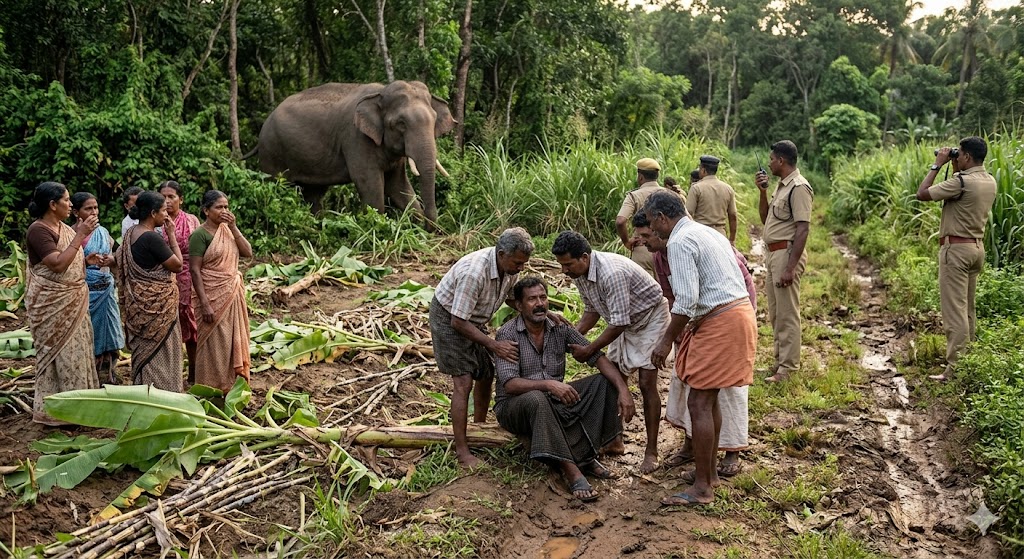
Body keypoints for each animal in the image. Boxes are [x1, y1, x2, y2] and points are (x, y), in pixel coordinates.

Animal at [250, 80, 455, 226]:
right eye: (400, 123)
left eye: (434, 119)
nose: (433, 228)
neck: (380, 92)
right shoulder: (356, 139)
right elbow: (370, 182)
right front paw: (375, 226)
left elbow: (398, 185)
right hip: (271, 152)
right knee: (277, 186)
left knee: (314, 193)